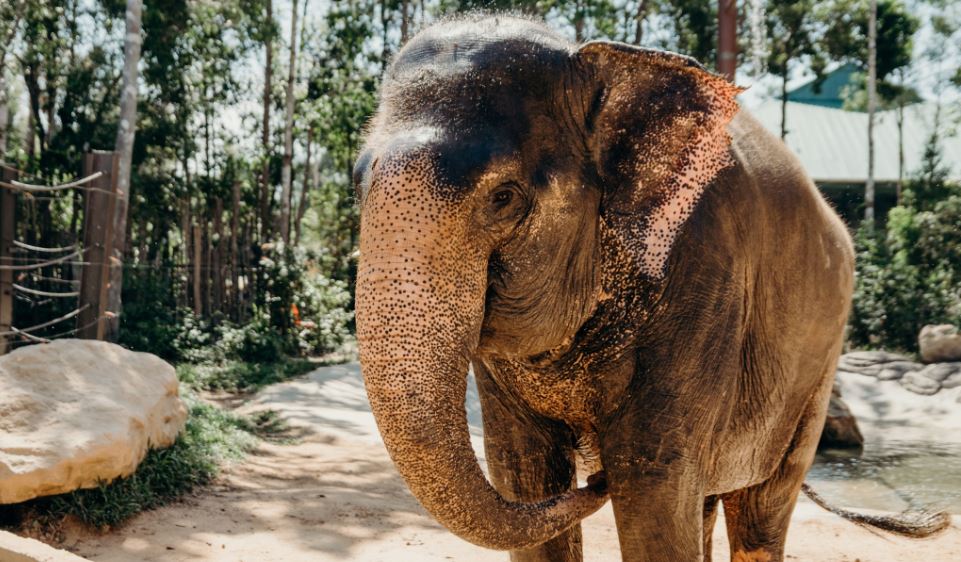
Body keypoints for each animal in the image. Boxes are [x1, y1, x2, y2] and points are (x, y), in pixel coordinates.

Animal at [350, 14, 944, 560]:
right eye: (359, 184)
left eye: (503, 198)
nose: (595, 477)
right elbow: (523, 469)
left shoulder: (705, 272)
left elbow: (651, 479)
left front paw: (621, 474)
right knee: (705, 505)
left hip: (814, 373)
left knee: (759, 512)